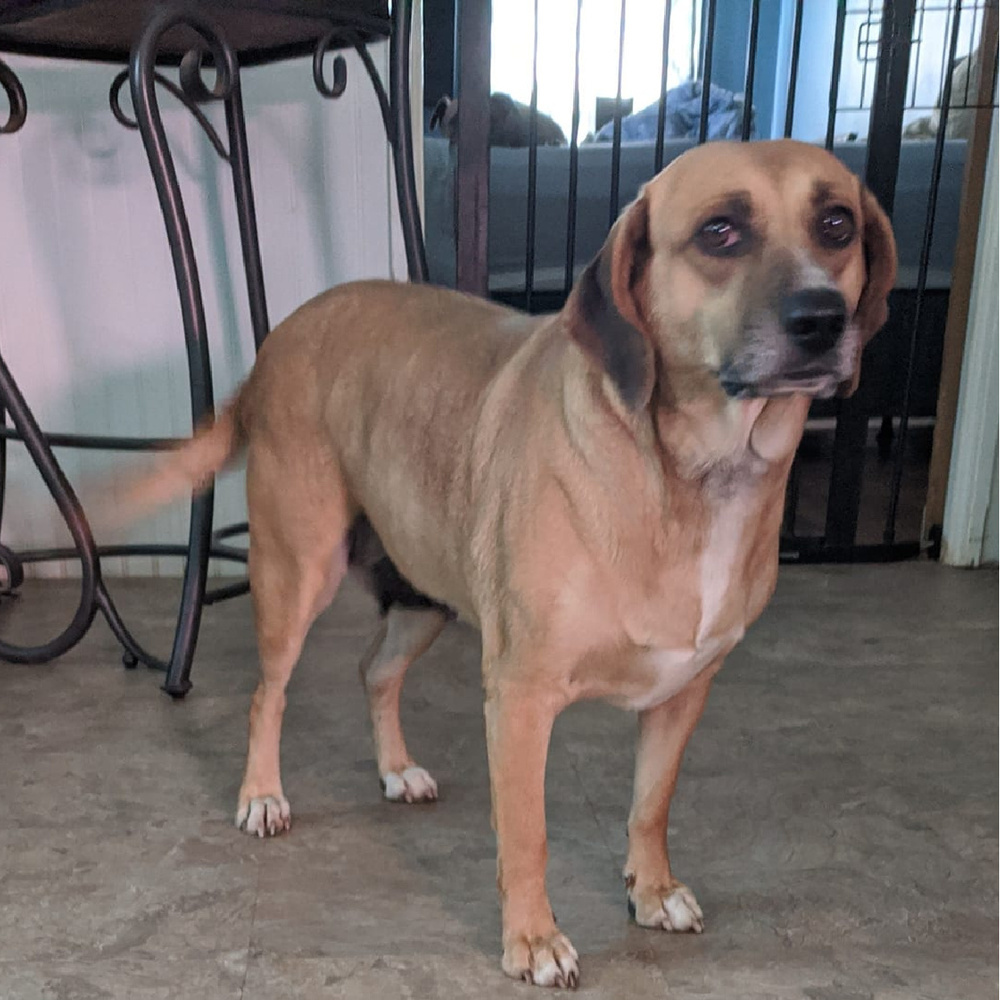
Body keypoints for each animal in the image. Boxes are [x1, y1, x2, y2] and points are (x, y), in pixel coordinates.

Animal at [125, 141, 900, 984]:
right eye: (720, 231)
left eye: (837, 224)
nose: (821, 319)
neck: (688, 473)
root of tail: (280, 337)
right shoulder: (522, 697)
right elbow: (528, 836)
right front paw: (532, 939)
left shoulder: (684, 692)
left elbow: (650, 805)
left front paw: (651, 889)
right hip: (298, 573)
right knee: (269, 695)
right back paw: (262, 794)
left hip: (424, 591)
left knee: (375, 670)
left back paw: (396, 768)